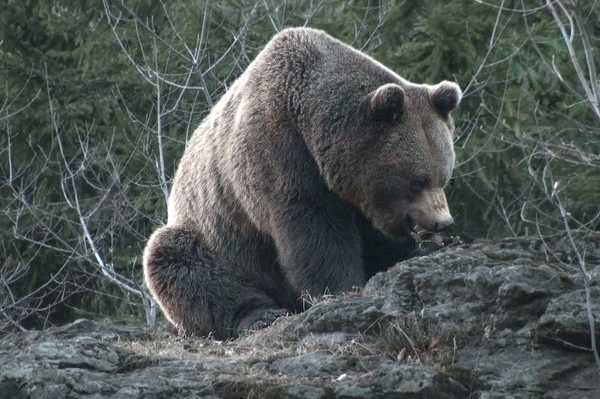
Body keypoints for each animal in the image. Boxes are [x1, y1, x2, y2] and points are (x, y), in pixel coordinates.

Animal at [143, 28, 462, 340]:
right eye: (417, 181)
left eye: (443, 175)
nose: (443, 221)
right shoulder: (279, 154)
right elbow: (314, 230)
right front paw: (340, 289)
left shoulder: (354, 191)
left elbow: (375, 237)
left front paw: (427, 249)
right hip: (217, 240)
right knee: (178, 262)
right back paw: (261, 315)